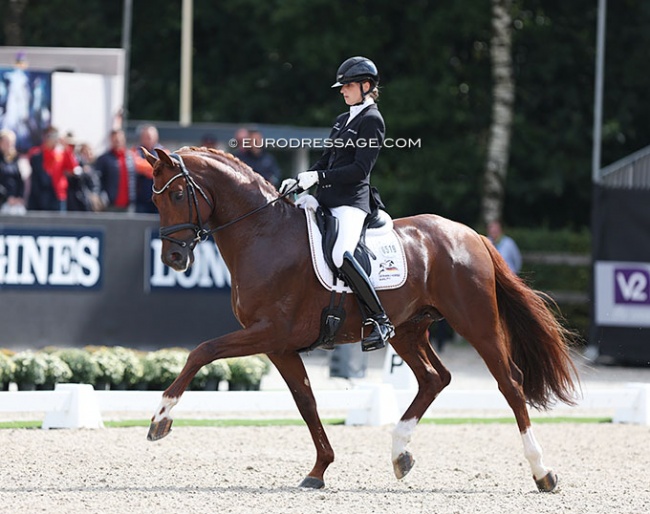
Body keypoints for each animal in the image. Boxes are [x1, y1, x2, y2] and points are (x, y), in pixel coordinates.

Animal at [143, 146, 576, 490]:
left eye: (178, 193)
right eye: (155, 199)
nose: (173, 258)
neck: (263, 234)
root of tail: (472, 235)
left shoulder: (268, 333)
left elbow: (202, 351)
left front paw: (160, 419)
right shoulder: (280, 346)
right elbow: (306, 402)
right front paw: (318, 470)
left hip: (476, 322)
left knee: (510, 383)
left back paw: (543, 473)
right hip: (407, 330)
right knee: (435, 378)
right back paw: (400, 453)